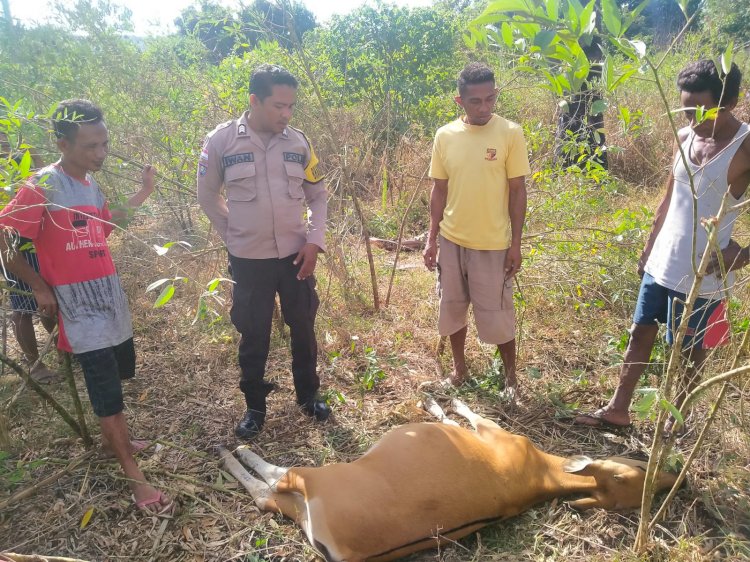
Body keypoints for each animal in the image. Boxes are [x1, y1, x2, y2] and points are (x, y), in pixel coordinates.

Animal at [219, 396, 680, 556]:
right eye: (641, 469)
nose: (679, 479)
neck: (543, 475)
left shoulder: (496, 433)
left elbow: (463, 412)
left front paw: (434, 399)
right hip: (299, 506)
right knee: (266, 498)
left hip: (316, 479)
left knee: (276, 480)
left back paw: (232, 450)